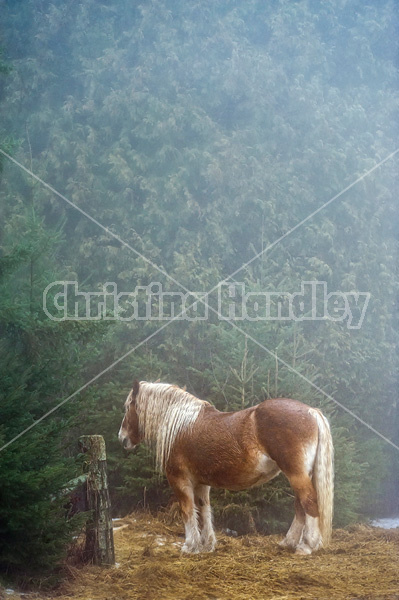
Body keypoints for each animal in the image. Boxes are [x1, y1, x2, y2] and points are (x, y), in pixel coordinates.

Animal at [119, 382, 334, 556]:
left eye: (128, 406)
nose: (122, 438)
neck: (180, 425)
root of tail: (311, 411)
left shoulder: (180, 480)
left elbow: (187, 511)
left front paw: (190, 546)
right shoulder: (201, 483)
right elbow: (204, 510)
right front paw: (207, 545)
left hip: (296, 474)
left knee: (309, 502)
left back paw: (306, 545)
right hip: (302, 474)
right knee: (300, 506)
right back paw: (288, 543)